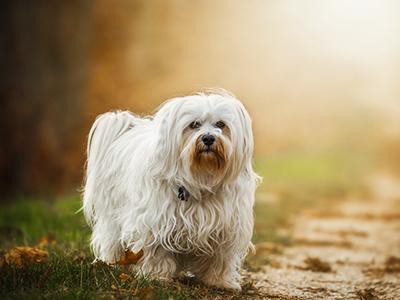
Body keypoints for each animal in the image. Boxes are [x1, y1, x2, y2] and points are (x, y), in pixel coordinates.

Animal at [83, 90, 260, 290]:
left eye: (221, 124)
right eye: (194, 124)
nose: (208, 138)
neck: (201, 177)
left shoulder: (226, 228)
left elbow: (220, 258)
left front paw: (219, 281)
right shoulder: (156, 223)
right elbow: (156, 252)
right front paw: (156, 276)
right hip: (112, 216)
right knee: (112, 240)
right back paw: (113, 263)